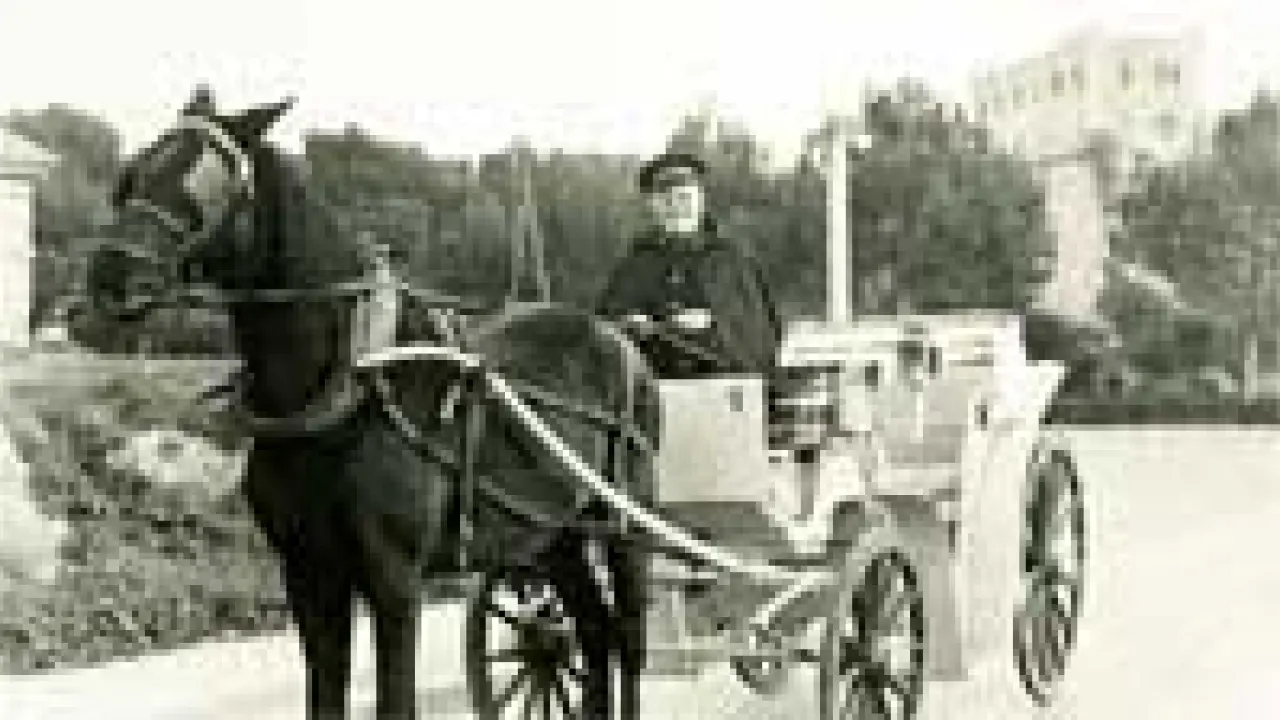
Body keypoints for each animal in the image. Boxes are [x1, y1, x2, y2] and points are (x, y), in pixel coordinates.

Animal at [85, 87, 651, 719]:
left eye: (208, 182)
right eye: (133, 173)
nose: (110, 275)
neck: (347, 390)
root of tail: (617, 339)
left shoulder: (394, 577)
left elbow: (394, 699)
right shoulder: (307, 571)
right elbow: (324, 694)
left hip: (625, 523)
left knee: (627, 636)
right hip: (551, 534)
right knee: (591, 630)